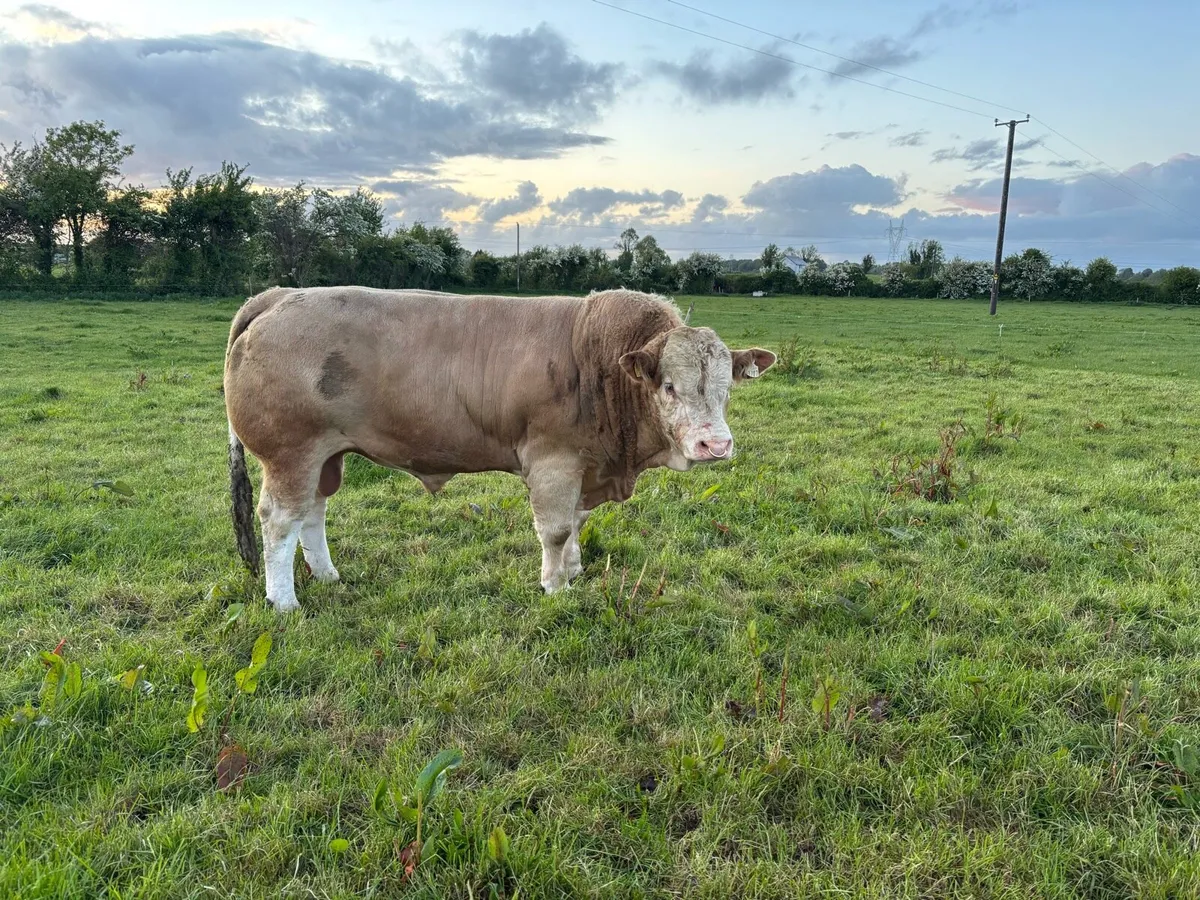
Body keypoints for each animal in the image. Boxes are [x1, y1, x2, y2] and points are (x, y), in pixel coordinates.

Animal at [224, 287, 775, 612]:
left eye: (726, 387)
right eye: (668, 386)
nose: (715, 443)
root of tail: (278, 295)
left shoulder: (584, 465)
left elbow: (576, 523)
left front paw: (573, 571)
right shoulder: (553, 461)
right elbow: (555, 529)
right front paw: (555, 587)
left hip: (326, 455)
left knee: (312, 515)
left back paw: (329, 576)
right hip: (292, 452)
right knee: (280, 520)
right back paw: (284, 602)